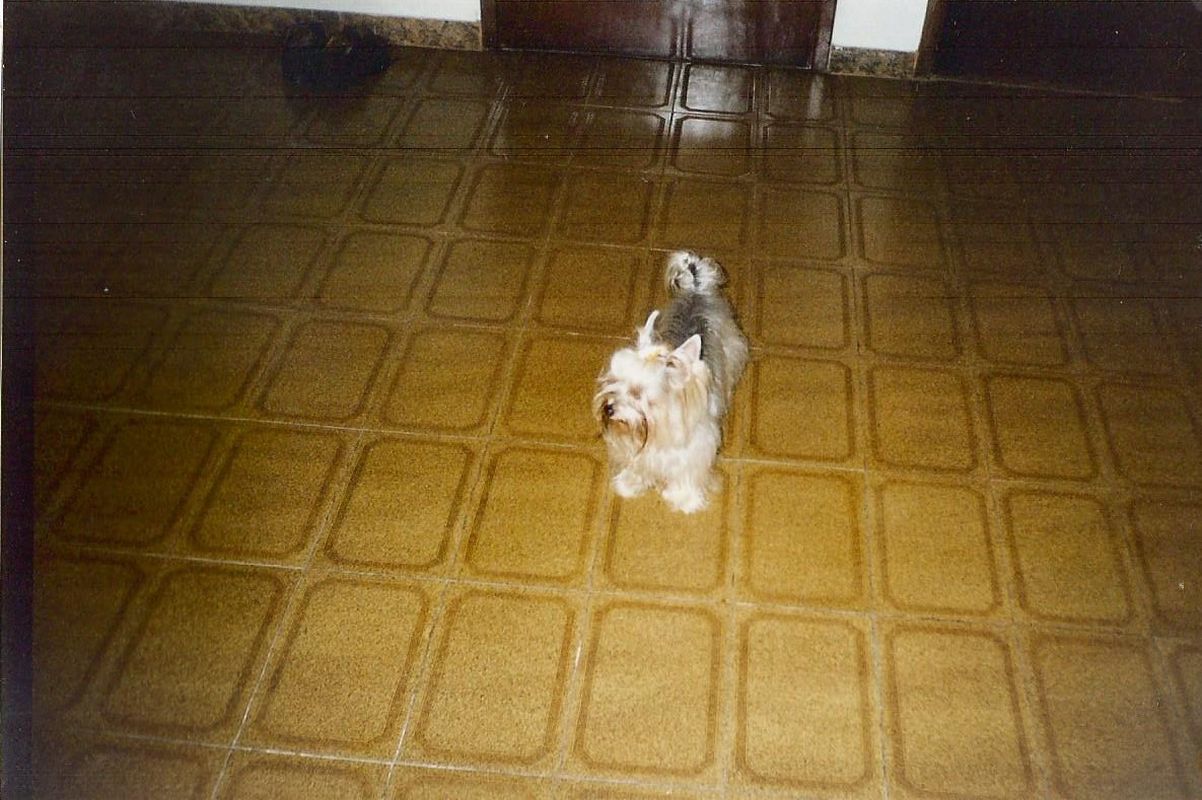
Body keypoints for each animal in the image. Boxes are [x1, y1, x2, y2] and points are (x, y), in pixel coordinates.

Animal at [593, 250, 748, 513]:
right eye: (613, 382)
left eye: (638, 393)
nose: (608, 408)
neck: (655, 434)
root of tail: (697, 289)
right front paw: (629, 484)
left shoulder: (695, 451)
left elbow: (687, 475)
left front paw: (684, 499)